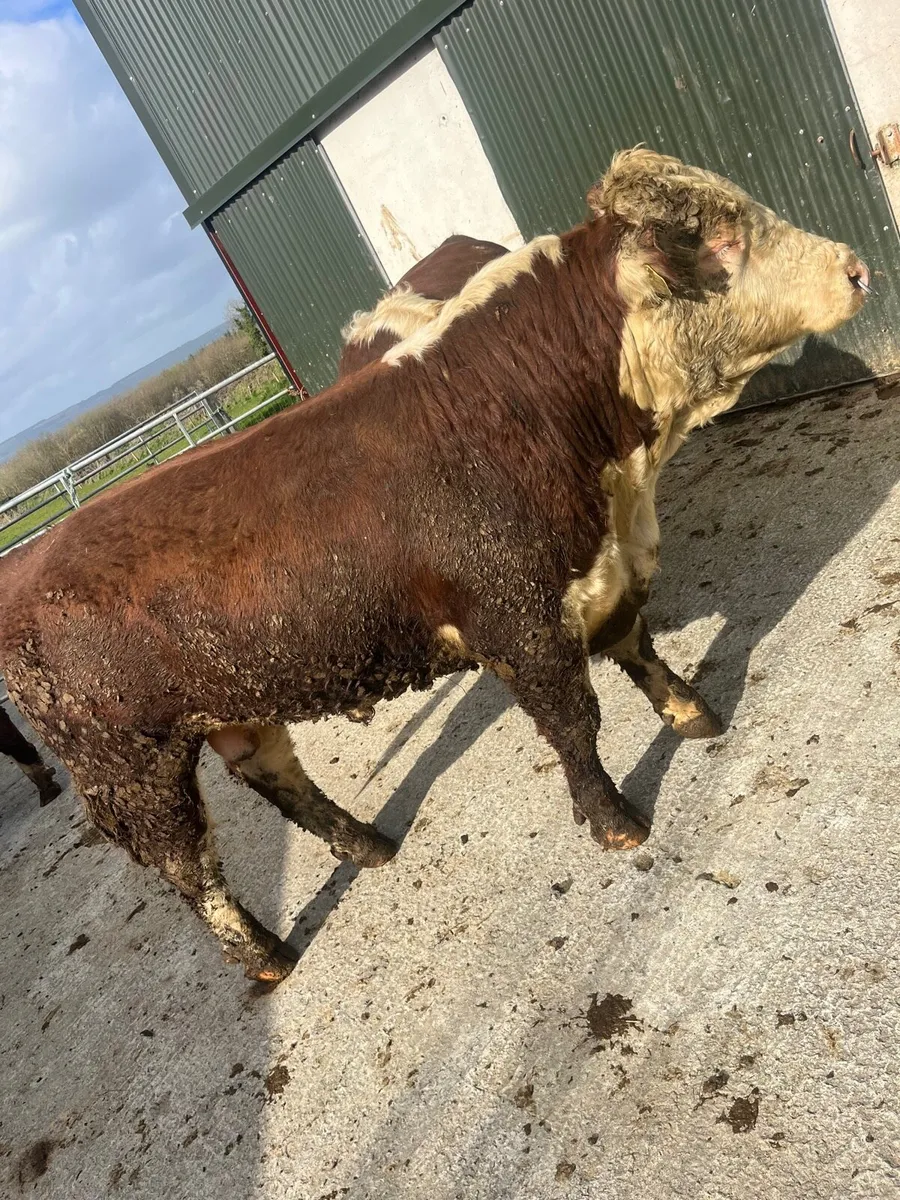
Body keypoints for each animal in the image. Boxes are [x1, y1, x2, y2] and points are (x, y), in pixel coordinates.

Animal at [0, 150, 869, 983]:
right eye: (723, 239)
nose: (856, 266)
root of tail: (27, 564)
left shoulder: (599, 566)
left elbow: (637, 645)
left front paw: (693, 714)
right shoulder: (520, 622)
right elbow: (572, 723)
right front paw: (616, 822)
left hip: (232, 707)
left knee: (278, 778)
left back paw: (370, 846)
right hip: (132, 768)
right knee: (190, 865)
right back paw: (267, 956)